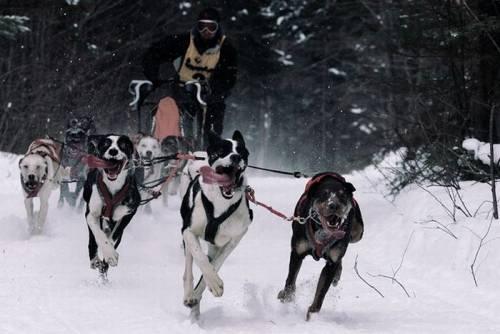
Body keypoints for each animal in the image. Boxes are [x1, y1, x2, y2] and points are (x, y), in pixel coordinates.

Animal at [82, 134, 141, 276]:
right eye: (106, 144)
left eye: (123, 145)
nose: (113, 151)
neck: (113, 187)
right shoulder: (91, 214)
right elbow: (99, 235)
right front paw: (109, 253)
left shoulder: (129, 213)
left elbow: (113, 237)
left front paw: (110, 254)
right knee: (93, 239)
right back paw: (95, 260)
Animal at [180, 130, 252, 318]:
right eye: (221, 151)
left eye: (242, 151)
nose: (235, 157)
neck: (220, 203)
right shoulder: (188, 231)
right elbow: (200, 257)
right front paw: (212, 284)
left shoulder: (235, 239)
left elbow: (216, 264)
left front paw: (211, 285)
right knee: (189, 265)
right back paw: (189, 295)